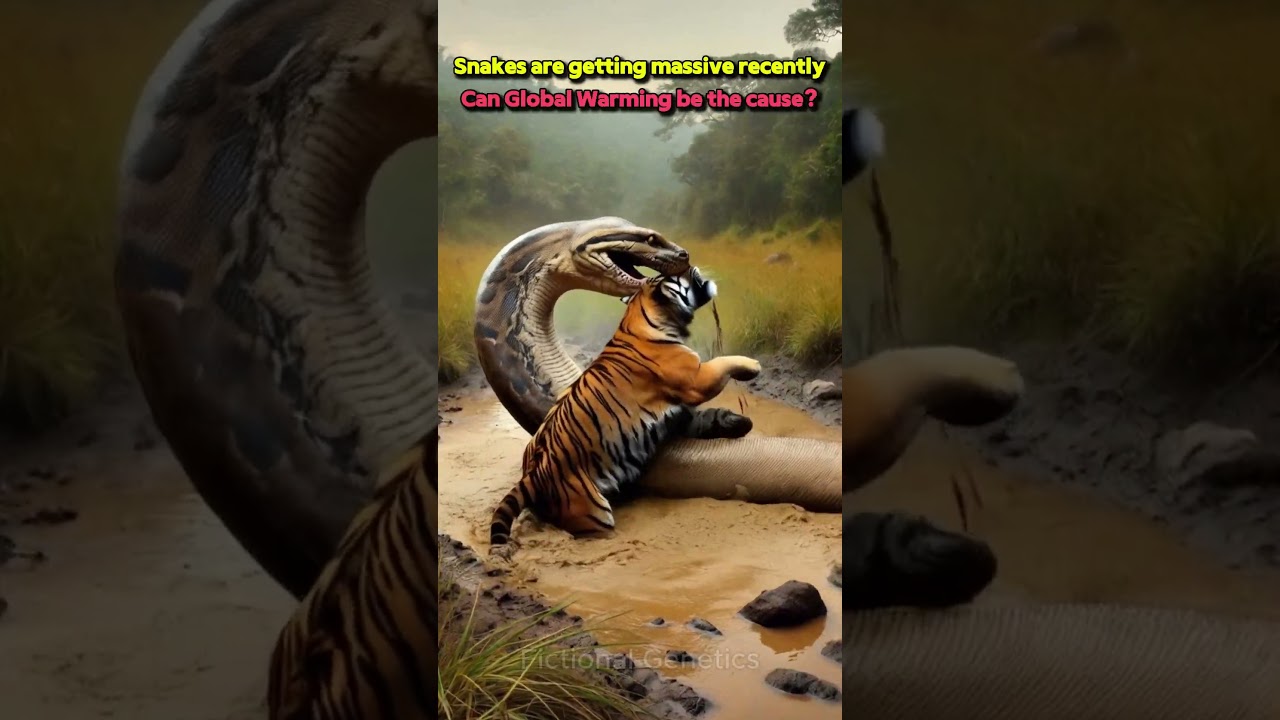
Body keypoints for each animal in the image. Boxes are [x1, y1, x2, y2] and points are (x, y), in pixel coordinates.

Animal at [488, 265, 762, 557]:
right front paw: (752, 366)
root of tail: (534, 472)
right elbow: (723, 362)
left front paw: (739, 422)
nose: (693, 266)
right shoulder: (696, 379)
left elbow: (705, 418)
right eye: (682, 273)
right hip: (594, 514)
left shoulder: (682, 412)